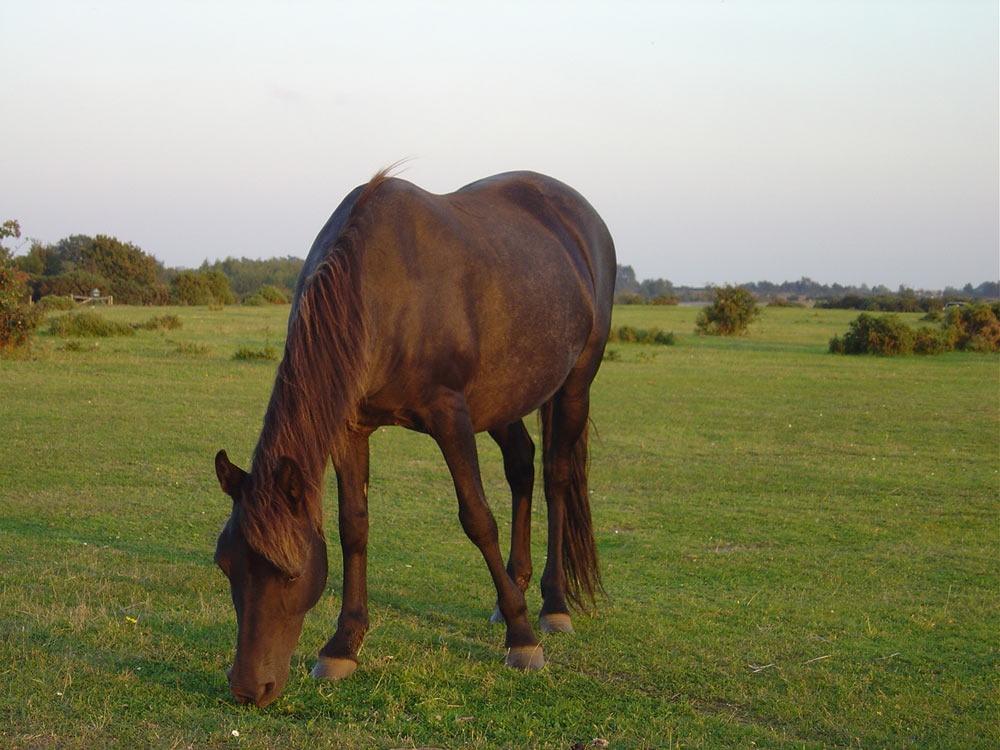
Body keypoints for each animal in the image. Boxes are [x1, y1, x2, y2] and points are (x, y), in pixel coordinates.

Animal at [213, 169, 616, 707]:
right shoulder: (350, 425)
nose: (247, 688)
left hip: (574, 384)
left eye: (290, 571)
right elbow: (353, 527)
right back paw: (513, 589)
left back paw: (551, 604)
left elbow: (477, 519)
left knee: (557, 478)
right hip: (501, 399)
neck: (382, 291)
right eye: (225, 564)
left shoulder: (450, 415)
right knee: (522, 465)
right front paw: (343, 645)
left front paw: (523, 639)